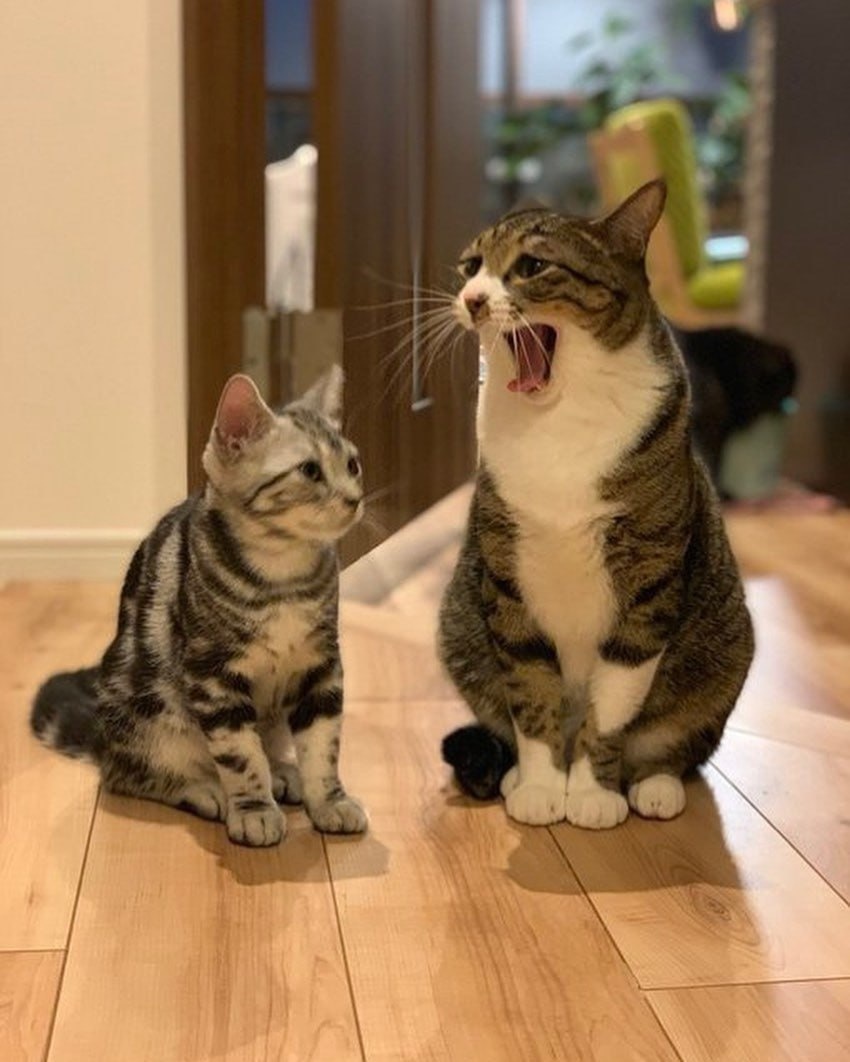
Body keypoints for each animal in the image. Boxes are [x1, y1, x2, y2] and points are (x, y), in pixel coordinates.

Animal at [31, 367, 368, 847]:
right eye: (310, 470)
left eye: (353, 465)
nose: (355, 498)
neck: (284, 578)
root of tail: (102, 735)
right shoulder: (213, 675)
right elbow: (240, 755)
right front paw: (253, 809)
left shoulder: (321, 666)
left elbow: (323, 745)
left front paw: (330, 801)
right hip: (149, 715)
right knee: (127, 775)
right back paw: (208, 790)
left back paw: (284, 772)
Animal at [438, 179, 754, 829]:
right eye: (471, 266)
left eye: (532, 267)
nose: (472, 299)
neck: (560, 418)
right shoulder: (506, 577)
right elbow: (530, 690)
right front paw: (541, 786)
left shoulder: (649, 584)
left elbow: (613, 704)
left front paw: (588, 792)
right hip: (457, 622)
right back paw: (514, 775)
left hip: (727, 652)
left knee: (676, 748)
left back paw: (654, 786)